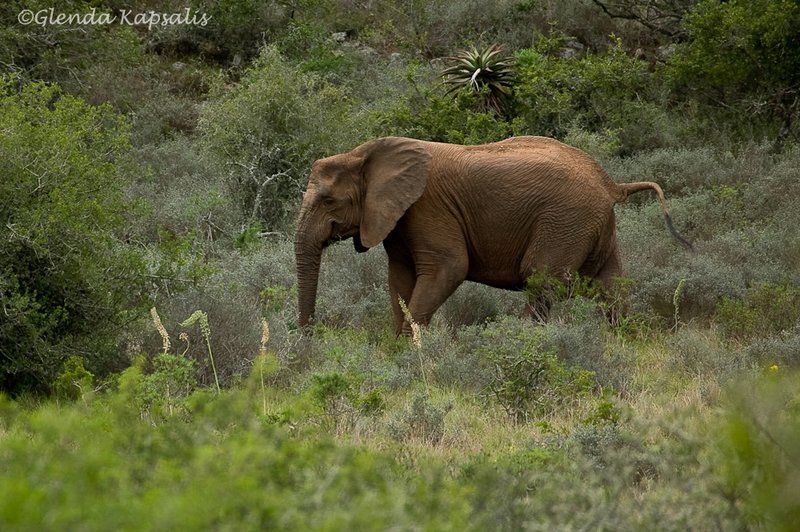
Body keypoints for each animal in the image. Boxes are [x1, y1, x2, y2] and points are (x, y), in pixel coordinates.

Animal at [294, 136, 691, 335]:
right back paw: (624, 340)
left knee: (540, 277)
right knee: (610, 283)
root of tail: (611, 183)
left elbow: (449, 269)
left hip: (566, 221)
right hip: (592, 225)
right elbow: (400, 281)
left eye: (328, 200)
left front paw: (410, 353)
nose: (308, 336)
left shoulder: (428, 208)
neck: (363, 153)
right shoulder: (396, 218)